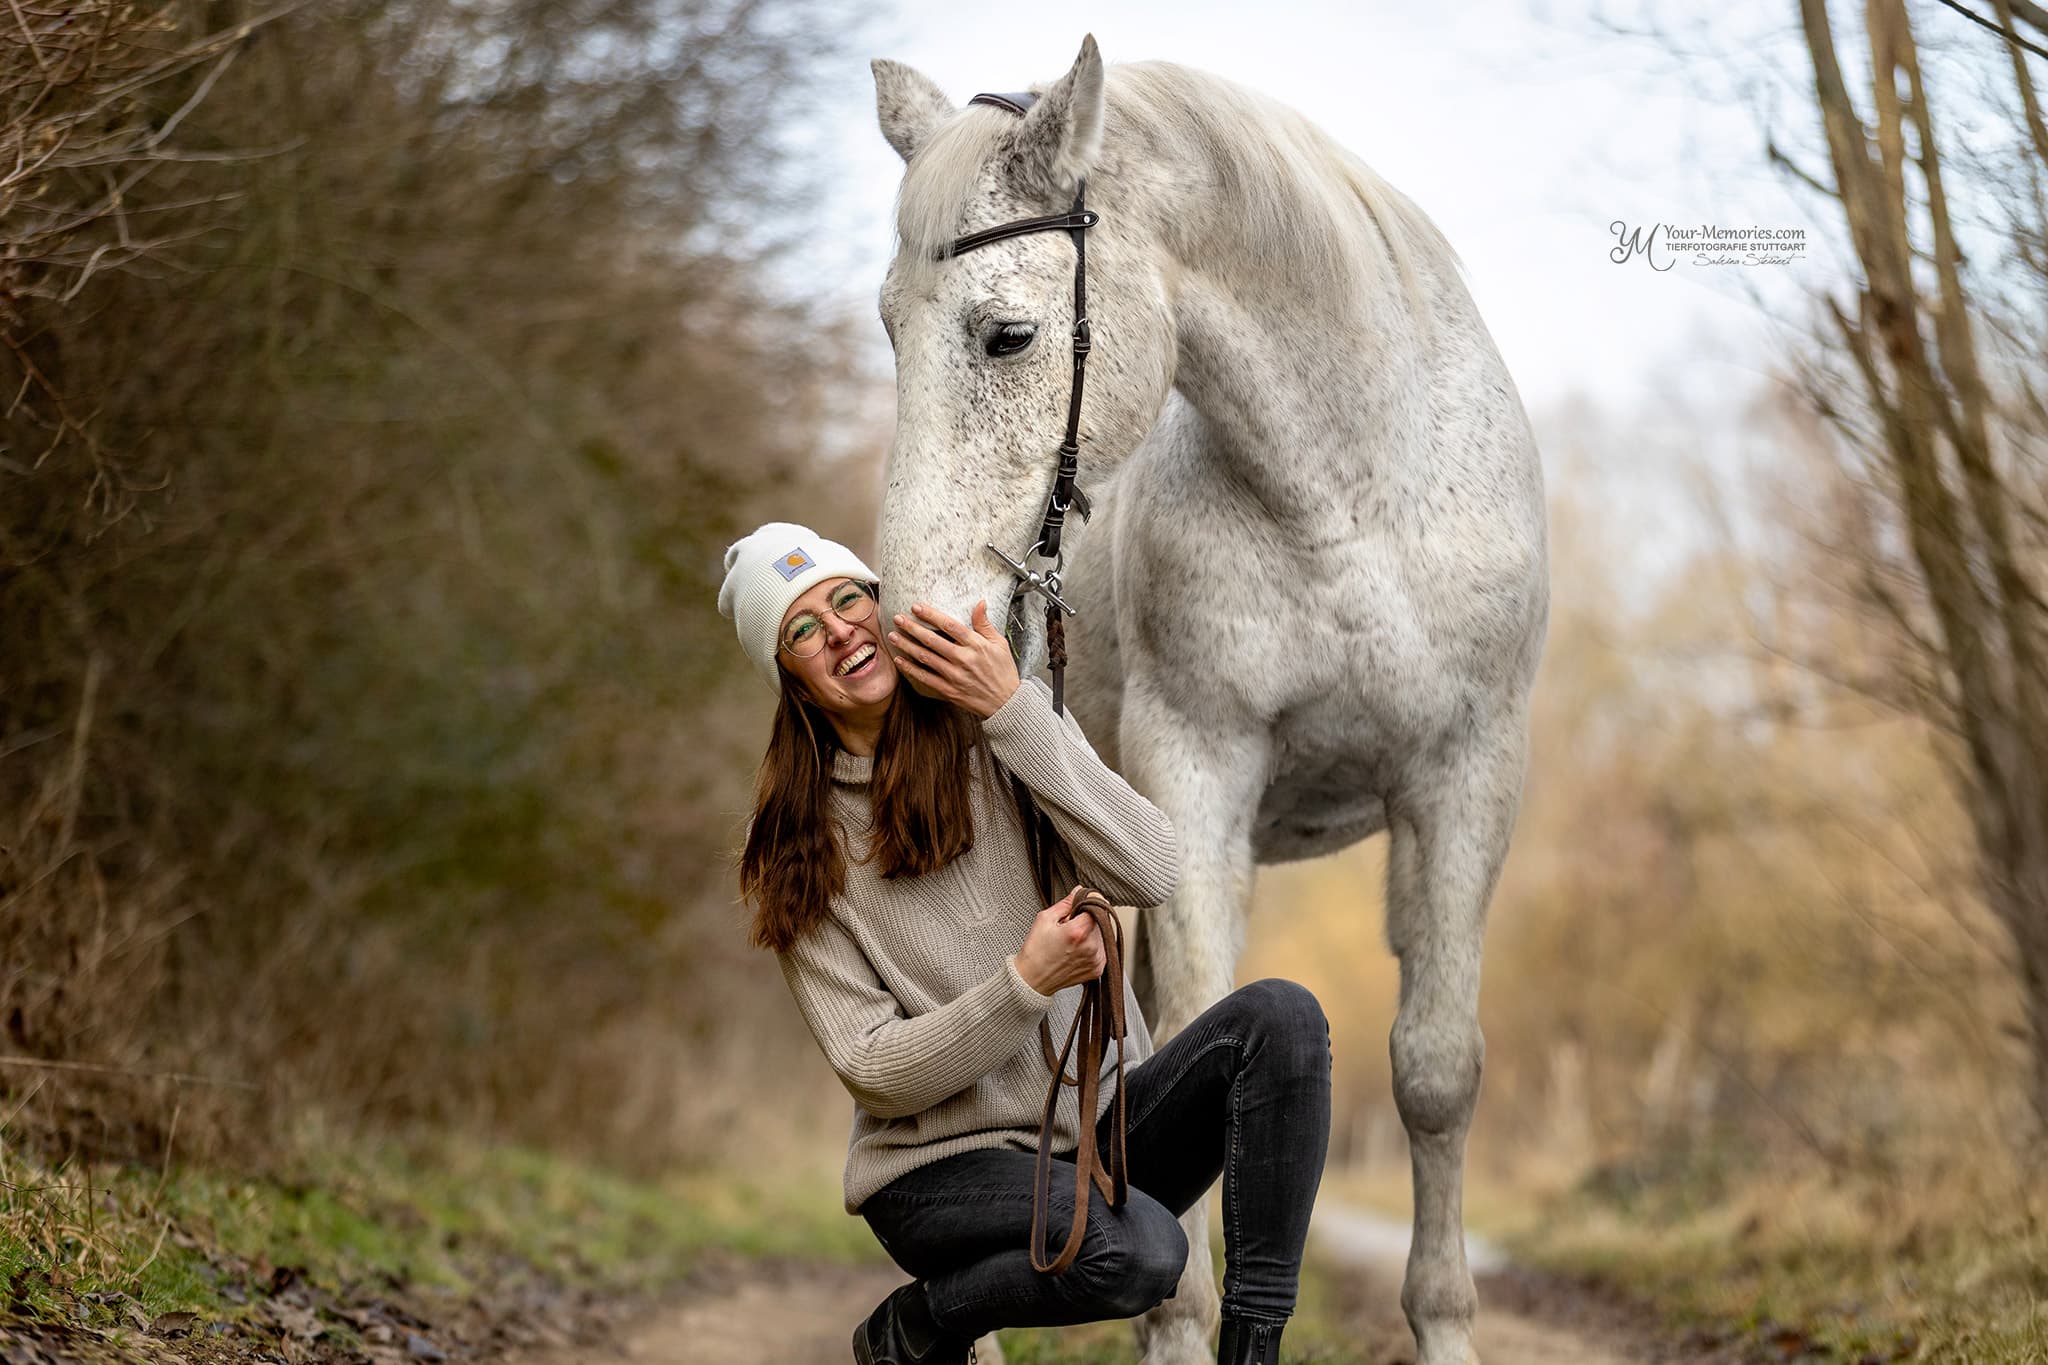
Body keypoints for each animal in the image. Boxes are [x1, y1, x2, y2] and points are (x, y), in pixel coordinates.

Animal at [868, 35, 1548, 1365]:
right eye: (887, 328)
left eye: (1008, 335)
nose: (913, 623)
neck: (1348, 494)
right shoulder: (1196, 766)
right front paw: (1174, 1331)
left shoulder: (1463, 775)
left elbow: (1435, 1072)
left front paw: (1444, 1325)